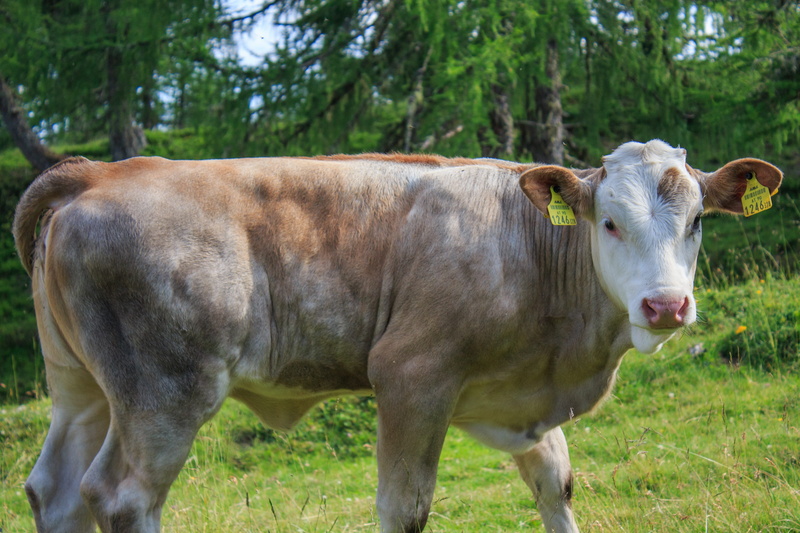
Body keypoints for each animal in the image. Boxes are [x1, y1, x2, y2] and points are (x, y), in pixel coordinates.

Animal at [13, 140, 782, 533]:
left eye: (697, 221)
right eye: (610, 222)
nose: (666, 304)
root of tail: (98, 173)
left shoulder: (514, 398)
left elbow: (555, 484)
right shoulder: (413, 375)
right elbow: (405, 507)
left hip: (82, 388)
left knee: (55, 490)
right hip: (165, 389)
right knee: (122, 496)